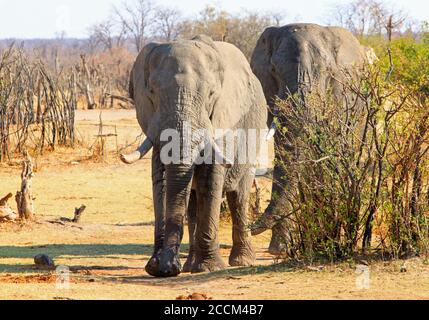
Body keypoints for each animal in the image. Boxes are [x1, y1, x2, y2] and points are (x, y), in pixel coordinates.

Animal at [121, 33, 268, 276]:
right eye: (152, 93)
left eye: (211, 94)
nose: (167, 266)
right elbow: (162, 181)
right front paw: (158, 267)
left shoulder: (221, 119)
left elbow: (211, 178)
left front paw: (209, 267)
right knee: (192, 202)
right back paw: (191, 265)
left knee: (239, 196)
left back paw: (241, 262)